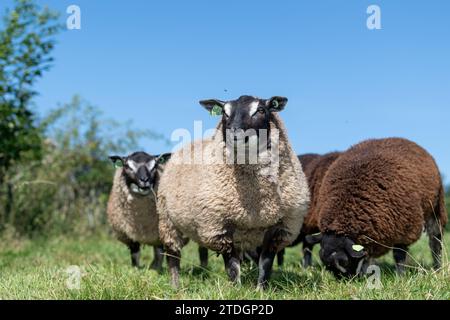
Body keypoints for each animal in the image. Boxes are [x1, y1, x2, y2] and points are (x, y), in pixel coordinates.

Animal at [157, 95, 310, 288]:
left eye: (261, 110)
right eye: (224, 112)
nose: (235, 135)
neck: (253, 200)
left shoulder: (280, 229)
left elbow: (265, 264)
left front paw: (261, 289)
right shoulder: (218, 226)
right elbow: (232, 265)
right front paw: (236, 288)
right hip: (167, 220)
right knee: (173, 255)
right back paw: (175, 285)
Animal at [306, 138, 446, 278]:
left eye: (343, 262)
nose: (346, 280)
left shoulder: (406, 227)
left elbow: (399, 255)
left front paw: (400, 276)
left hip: (436, 208)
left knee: (435, 241)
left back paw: (438, 268)